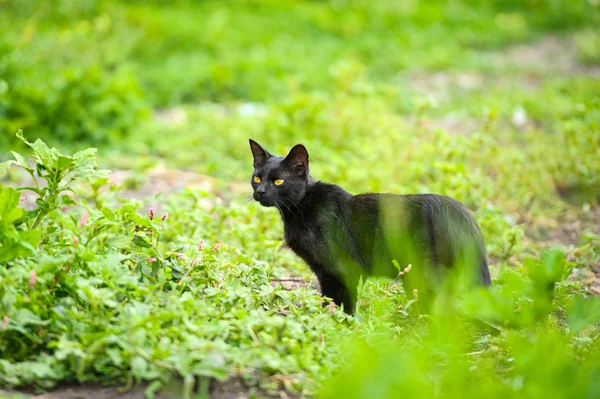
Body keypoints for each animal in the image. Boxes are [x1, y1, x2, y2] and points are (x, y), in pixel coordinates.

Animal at [251, 140, 490, 312]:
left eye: (278, 181)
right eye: (257, 178)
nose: (260, 192)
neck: (300, 208)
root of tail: (462, 215)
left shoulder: (341, 270)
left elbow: (341, 303)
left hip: (425, 273)